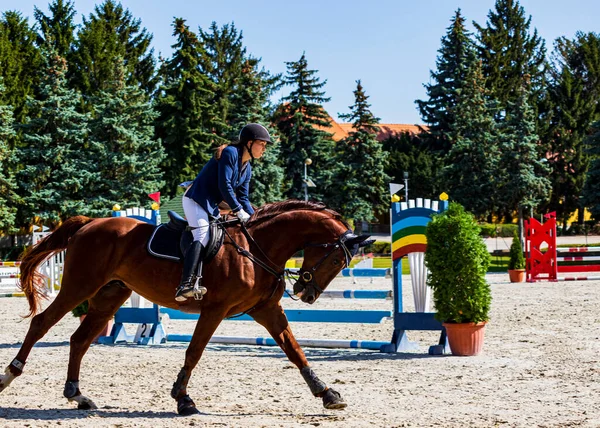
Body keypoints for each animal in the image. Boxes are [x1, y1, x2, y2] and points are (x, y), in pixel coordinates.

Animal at [0, 200, 372, 414]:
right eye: (337, 258)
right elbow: (194, 352)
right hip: (80, 286)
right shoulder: (216, 309)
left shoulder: (267, 310)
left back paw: (78, 396)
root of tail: (90, 222)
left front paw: (327, 393)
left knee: (79, 340)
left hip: (110, 295)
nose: (306, 294)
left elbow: (295, 351)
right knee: (42, 323)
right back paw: (9, 375)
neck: (259, 248)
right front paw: (182, 398)